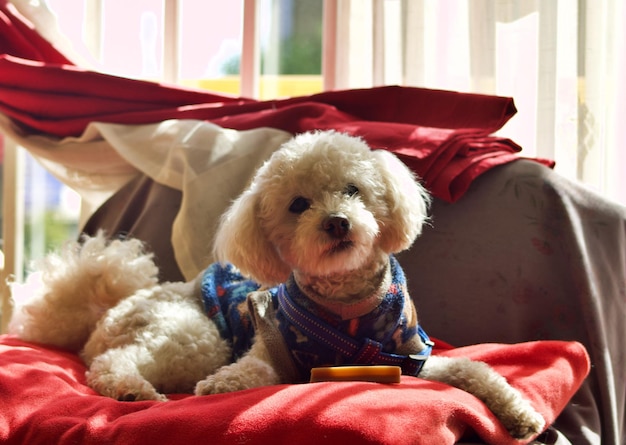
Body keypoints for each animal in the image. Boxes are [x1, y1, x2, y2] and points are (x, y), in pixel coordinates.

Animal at [12, 130, 544, 438]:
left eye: (353, 189)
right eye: (298, 205)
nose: (336, 222)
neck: (348, 311)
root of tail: (104, 310)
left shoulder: (412, 359)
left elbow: (474, 371)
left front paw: (520, 415)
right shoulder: (270, 351)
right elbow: (248, 372)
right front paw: (220, 387)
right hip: (193, 335)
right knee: (113, 363)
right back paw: (132, 391)